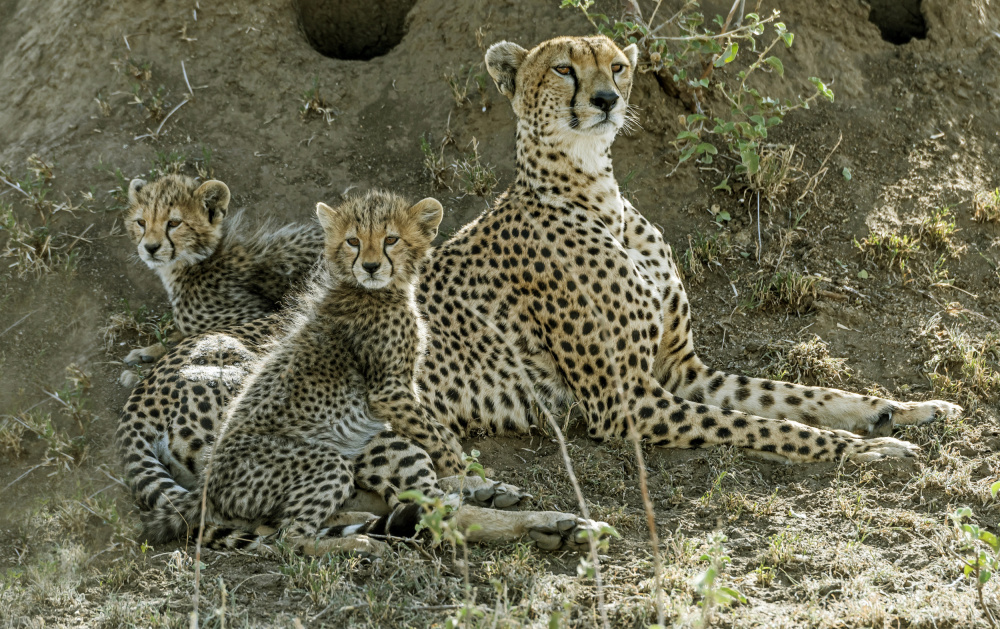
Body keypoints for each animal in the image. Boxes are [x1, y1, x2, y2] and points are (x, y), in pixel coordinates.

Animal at [408, 36, 960, 462]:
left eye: (617, 66)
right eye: (563, 68)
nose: (607, 99)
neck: (597, 194)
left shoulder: (680, 370)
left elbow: (793, 394)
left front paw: (904, 408)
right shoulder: (625, 402)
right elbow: (766, 425)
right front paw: (861, 447)